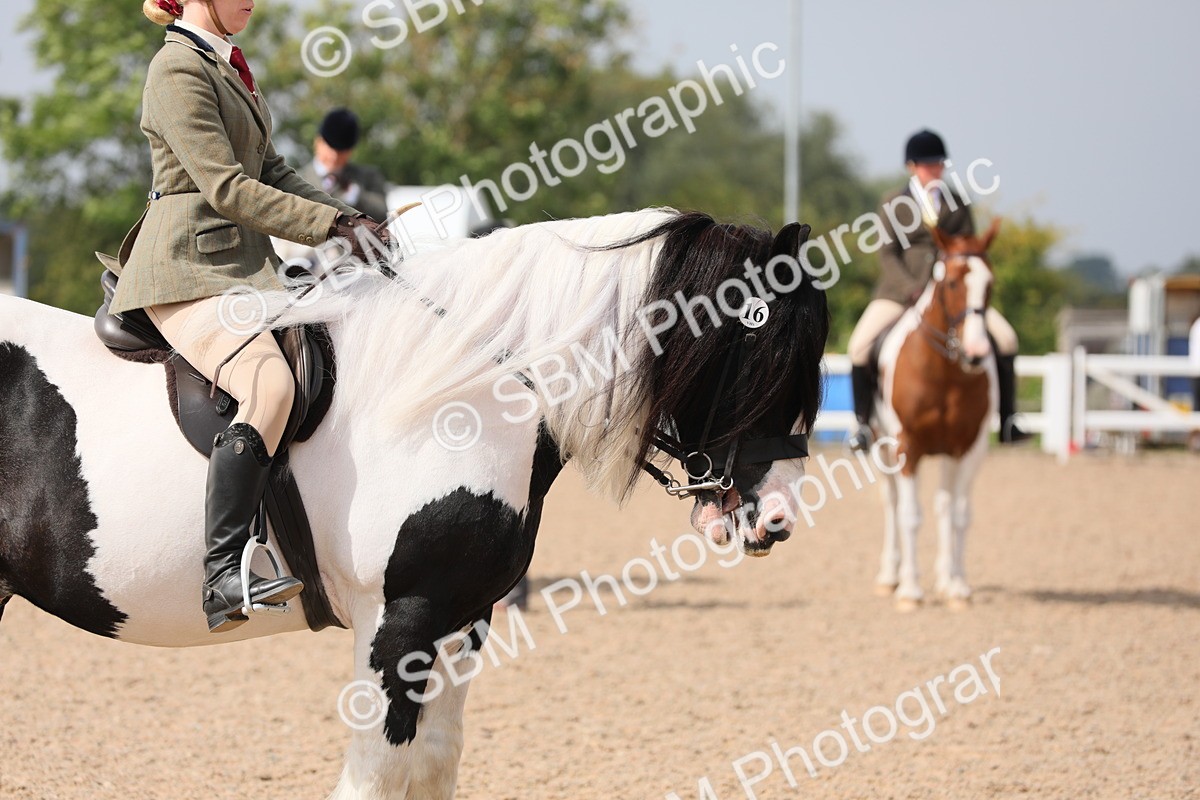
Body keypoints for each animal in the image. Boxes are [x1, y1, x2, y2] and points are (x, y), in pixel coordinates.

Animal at [0, 208, 829, 799]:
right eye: (763, 358)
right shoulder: (398, 623)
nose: (781, 516)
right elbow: (378, 777)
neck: (459, 394)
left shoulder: (462, 619)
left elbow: (433, 766)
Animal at [870, 220, 1001, 611]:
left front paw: (957, 587)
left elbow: (959, 514)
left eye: (990, 284)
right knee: (892, 503)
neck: (945, 371)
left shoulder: (968, 448)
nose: (975, 353)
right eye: (952, 283)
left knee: (945, 506)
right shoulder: (906, 447)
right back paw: (890, 576)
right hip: (879, 447)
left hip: (948, 454)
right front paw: (910, 590)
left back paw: (945, 577)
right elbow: (910, 516)